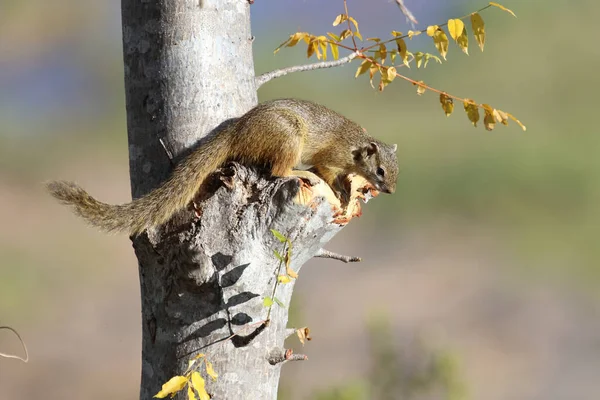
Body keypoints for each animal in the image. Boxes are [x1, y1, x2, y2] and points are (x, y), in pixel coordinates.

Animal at [44, 98, 396, 234]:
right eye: (380, 171)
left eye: (397, 172)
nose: (391, 190)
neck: (355, 147)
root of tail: (238, 130)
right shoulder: (330, 158)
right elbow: (327, 172)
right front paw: (343, 193)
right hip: (288, 138)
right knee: (278, 171)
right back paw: (299, 172)